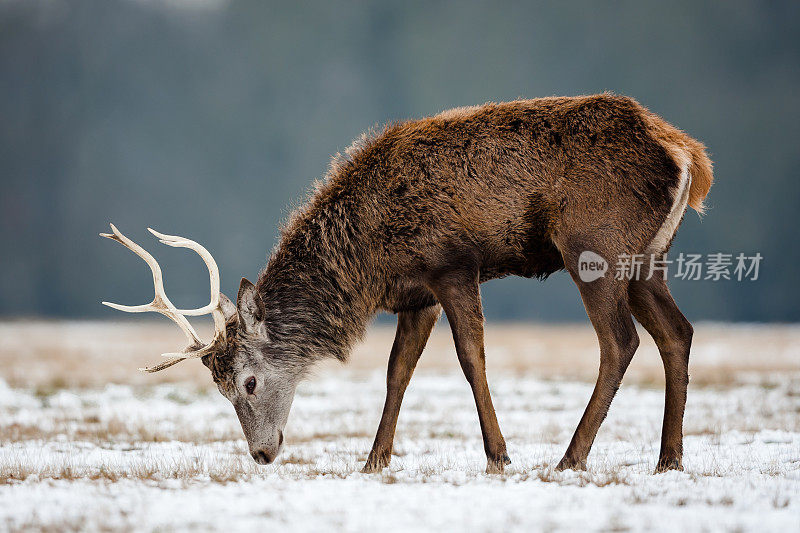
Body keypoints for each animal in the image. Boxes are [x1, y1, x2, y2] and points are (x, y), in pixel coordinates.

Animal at [101, 92, 712, 474]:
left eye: (248, 383)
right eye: (221, 388)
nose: (263, 454)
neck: (369, 260)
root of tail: (687, 154)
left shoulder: (452, 265)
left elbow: (470, 357)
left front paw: (498, 455)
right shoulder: (416, 295)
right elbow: (398, 371)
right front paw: (374, 459)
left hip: (595, 247)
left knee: (621, 341)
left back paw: (571, 457)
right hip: (648, 259)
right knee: (676, 333)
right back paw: (669, 458)